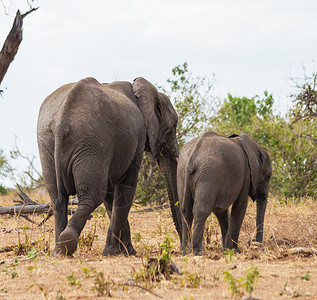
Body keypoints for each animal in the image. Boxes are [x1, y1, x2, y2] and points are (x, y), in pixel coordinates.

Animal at [36, 77, 180, 255]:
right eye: (175, 124)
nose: (182, 248)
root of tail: (61, 121)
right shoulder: (136, 140)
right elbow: (126, 189)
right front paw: (117, 252)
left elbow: (110, 195)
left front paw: (125, 251)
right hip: (91, 142)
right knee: (92, 197)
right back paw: (68, 243)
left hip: (48, 145)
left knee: (58, 199)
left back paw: (58, 251)